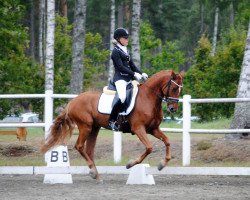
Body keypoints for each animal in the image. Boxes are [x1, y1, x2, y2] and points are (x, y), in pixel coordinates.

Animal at [41, 70, 184, 181]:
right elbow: (149, 147)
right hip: (85, 126)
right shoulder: (138, 128)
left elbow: (167, 141)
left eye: (180, 89)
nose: (173, 109)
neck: (148, 98)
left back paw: (97, 175)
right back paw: (93, 172)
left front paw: (162, 164)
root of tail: (72, 102)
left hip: (94, 128)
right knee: (79, 146)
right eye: (174, 88)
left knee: (89, 150)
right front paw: (130, 164)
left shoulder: (153, 129)